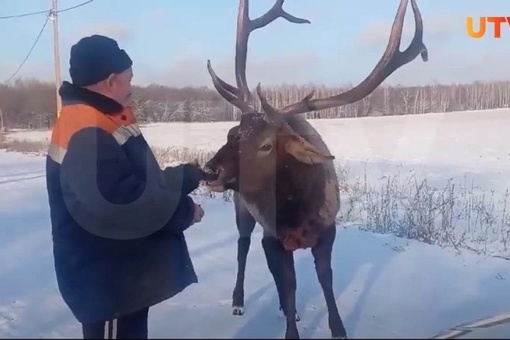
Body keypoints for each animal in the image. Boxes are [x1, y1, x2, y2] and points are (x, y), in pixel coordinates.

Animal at [201, 0, 428, 338]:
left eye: (266, 144)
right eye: (233, 133)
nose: (210, 169)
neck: (299, 214)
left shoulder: (327, 232)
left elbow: (325, 281)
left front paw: (338, 329)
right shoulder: (274, 236)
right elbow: (290, 285)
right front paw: (290, 326)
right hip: (243, 210)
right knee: (243, 246)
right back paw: (239, 301)